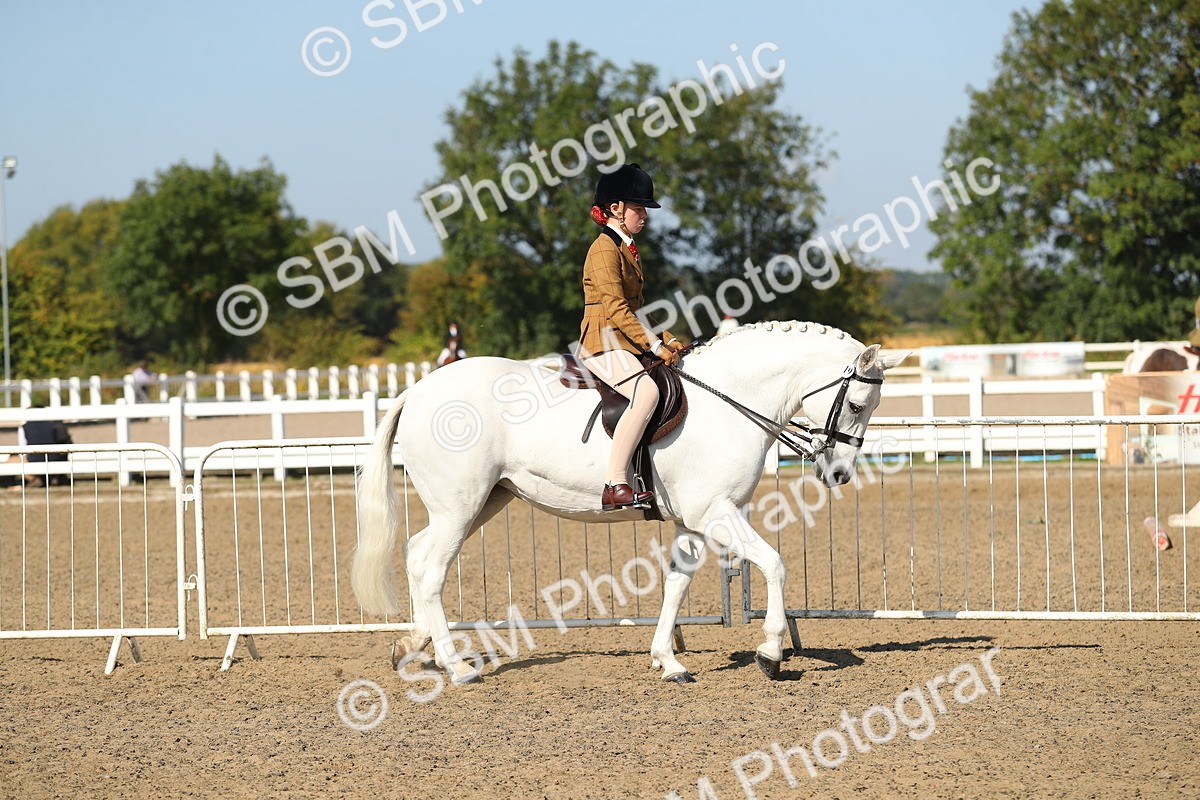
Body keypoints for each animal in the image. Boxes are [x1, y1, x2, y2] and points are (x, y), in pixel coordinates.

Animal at [352, 321, 909, 684]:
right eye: (857, 404)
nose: (838, 473)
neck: (730, 402)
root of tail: (419, 390)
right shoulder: (717, 513)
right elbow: (773, 563)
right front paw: (770, 651)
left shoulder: (694, 521)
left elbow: (677, 583)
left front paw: (669, 660)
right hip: (460, 506)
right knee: (431, 569)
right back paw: (456, 666)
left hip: (483, 501)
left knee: (417, 554)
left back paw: (412, 647)